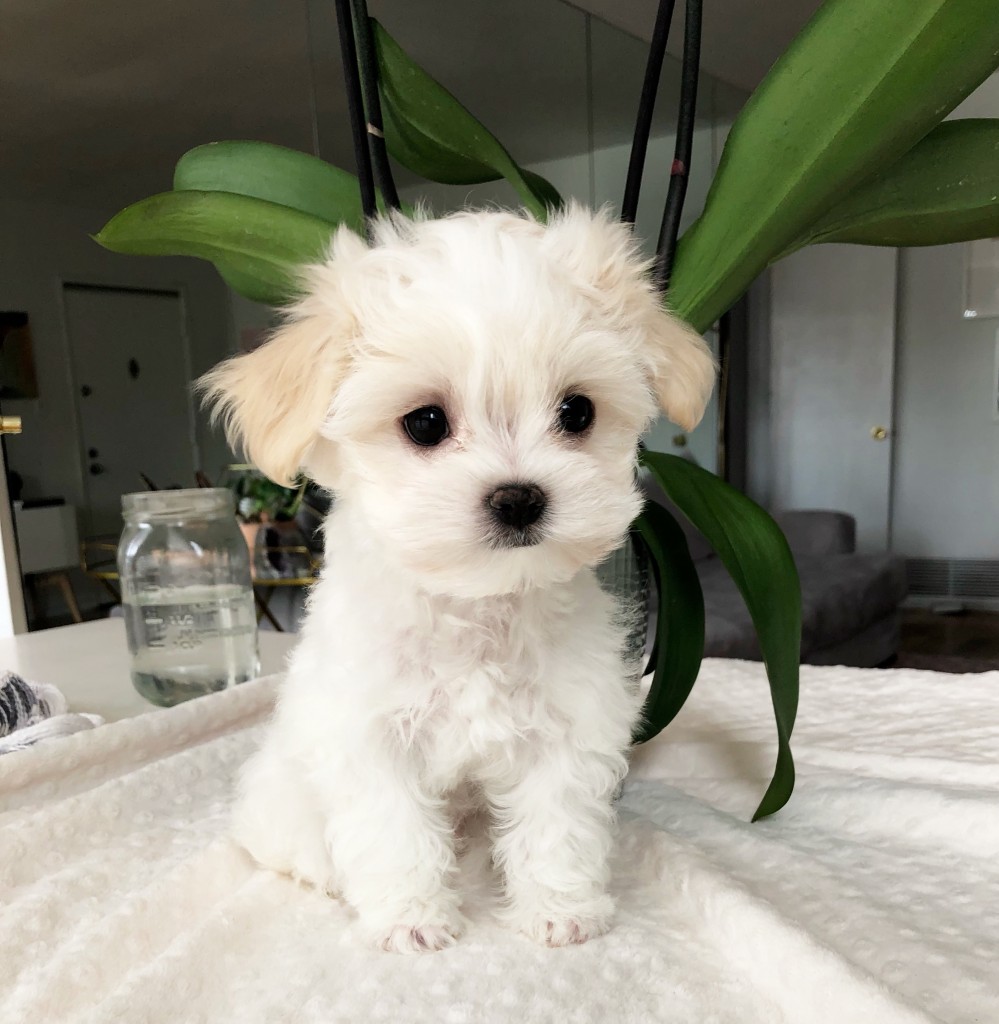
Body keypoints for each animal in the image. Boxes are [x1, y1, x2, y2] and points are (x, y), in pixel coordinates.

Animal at [202, 203, 712, 954]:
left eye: (577, 412)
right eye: (424, 423)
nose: (519, 498)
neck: (477, 605)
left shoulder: (567, 726)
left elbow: (556, 823)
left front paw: (559, 910)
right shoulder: (368, 735)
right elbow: (394, 830)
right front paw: (411, 920)